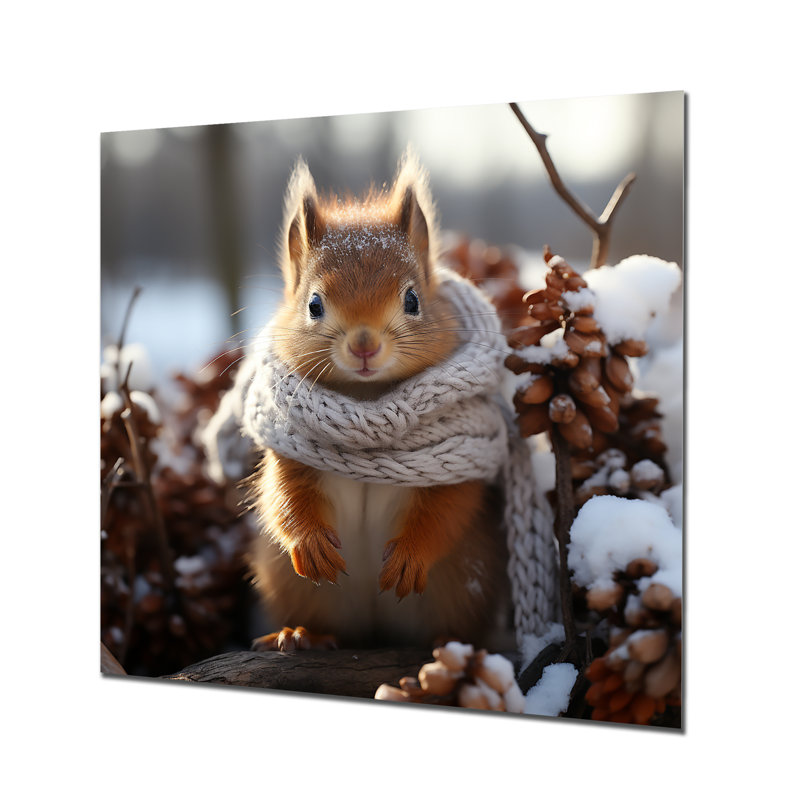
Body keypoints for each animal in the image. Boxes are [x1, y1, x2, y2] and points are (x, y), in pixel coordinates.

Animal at [248, 152, 507, 652]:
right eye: (313, 304)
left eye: (413, 300)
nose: (364, 345)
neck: (368, 398)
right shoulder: (290, 453)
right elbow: (284, 497)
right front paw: (309, 544)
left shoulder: (455, 460)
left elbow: (448, 510)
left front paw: (410, 557)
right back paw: (301, 634)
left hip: (463, 585)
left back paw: (450, 647)